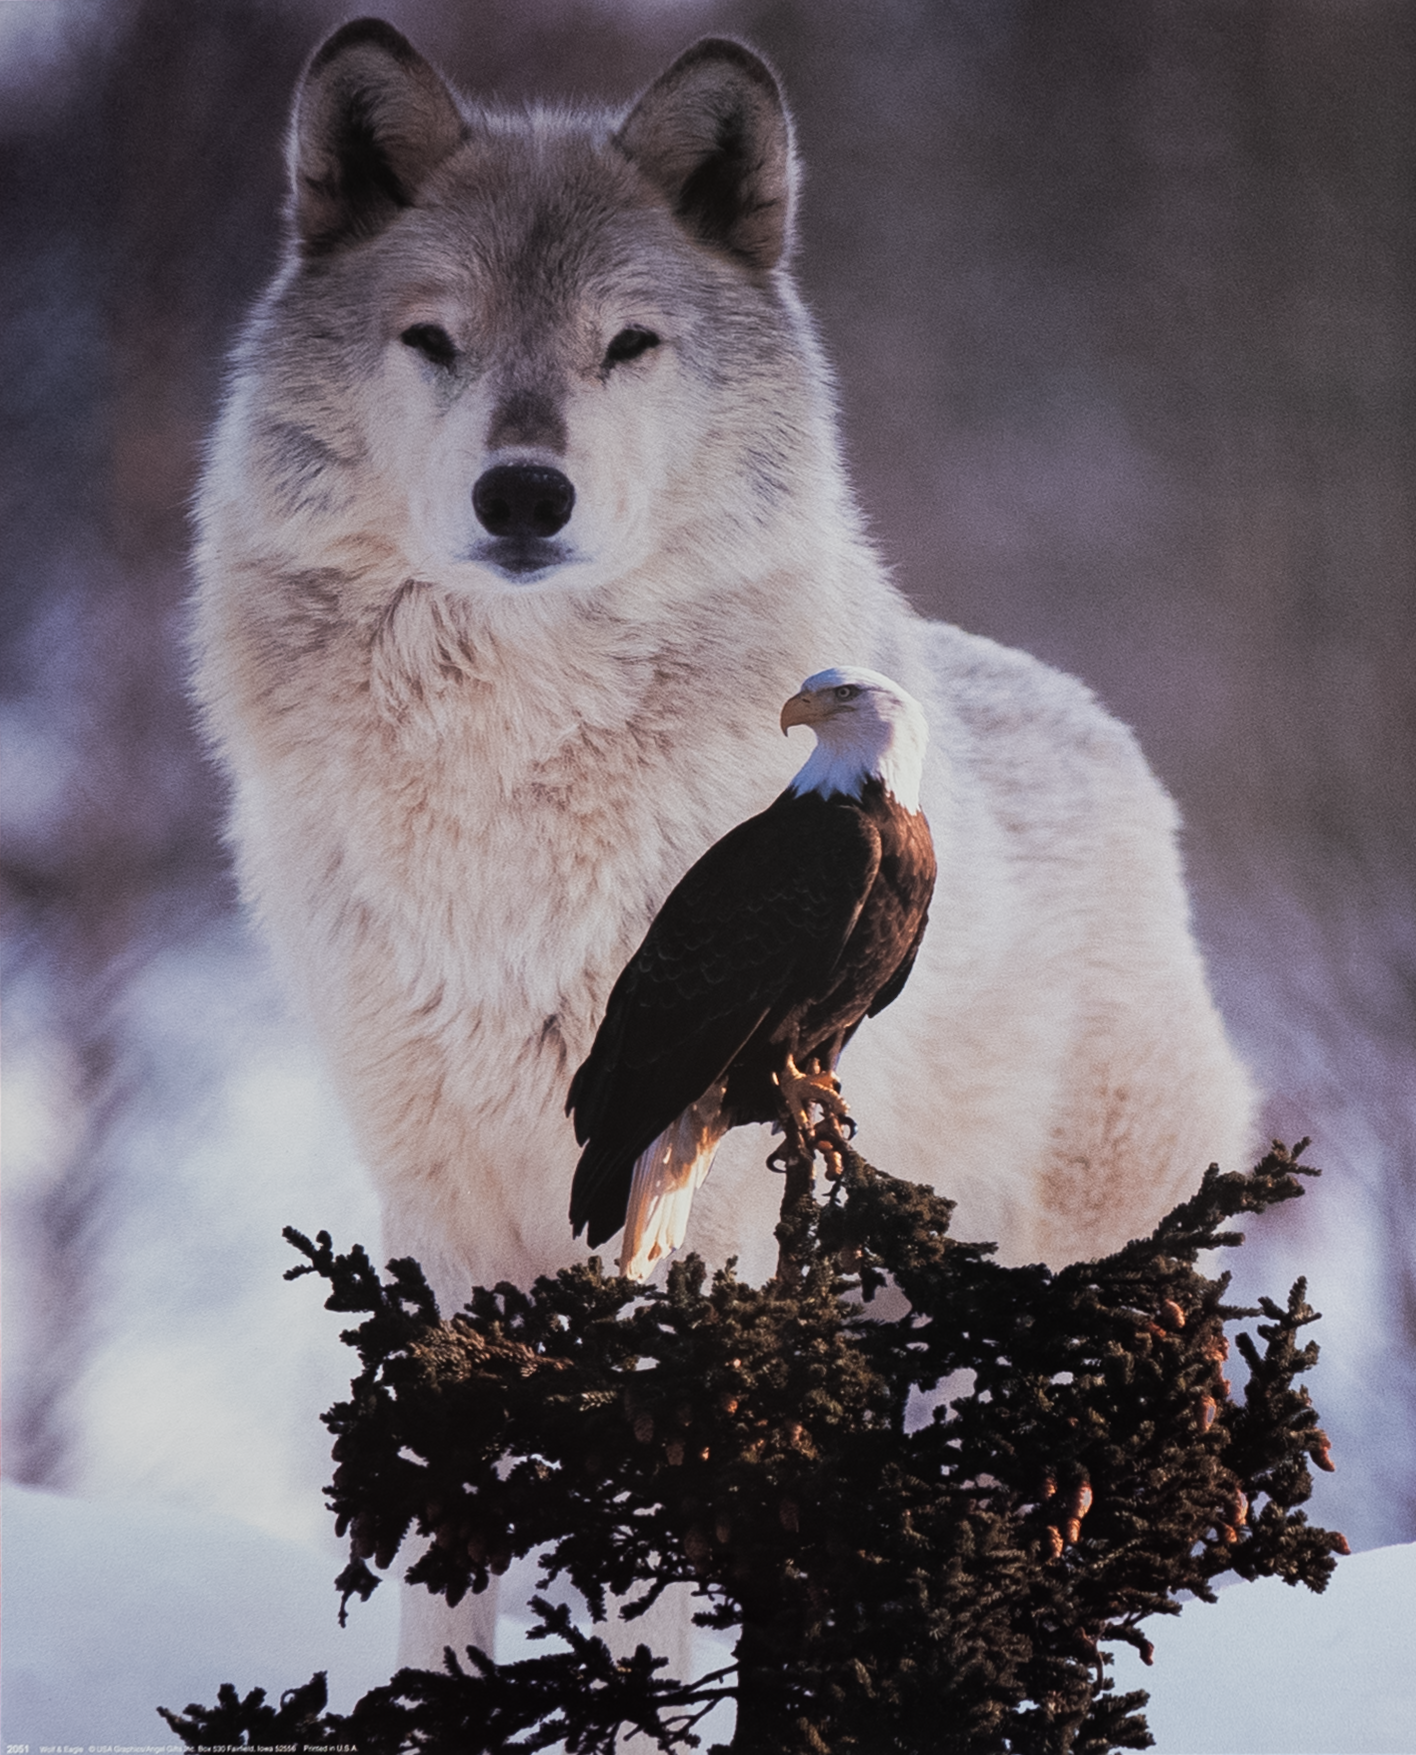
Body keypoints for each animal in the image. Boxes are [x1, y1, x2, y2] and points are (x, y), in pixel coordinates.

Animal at [192, 18, 1255, 1671]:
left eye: (629, 345)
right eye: (433, 339)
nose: (524, 492)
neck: (510, 789)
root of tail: (1123, 752)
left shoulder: (692, 1198)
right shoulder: (440, 1207)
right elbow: (446, 1548)